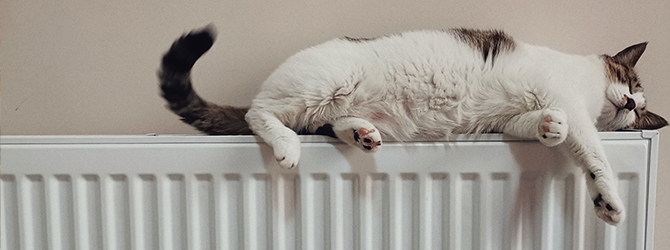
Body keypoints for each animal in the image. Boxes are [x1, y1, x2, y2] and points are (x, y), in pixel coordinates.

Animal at [158, 24, 668, 225]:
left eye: (639, 113)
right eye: (629, 82)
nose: (628, 101)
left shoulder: (512, 119)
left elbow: (544, 124)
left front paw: (549, 129)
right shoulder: (574, 106)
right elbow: (593, 153)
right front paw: (608, 200)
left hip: (328, 107)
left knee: (328, 124)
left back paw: (361, 133)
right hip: (322, 84)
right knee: (258, 114)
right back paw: (286, 145)